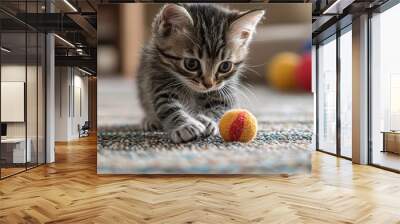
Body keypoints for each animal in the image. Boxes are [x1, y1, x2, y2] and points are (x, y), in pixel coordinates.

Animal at [136, 3, 264, 144]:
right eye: (191, 64)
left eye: (225, 66)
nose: (208, 84)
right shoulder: (160, 80)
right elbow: (168, 107)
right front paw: (185, 125)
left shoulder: (226, 90)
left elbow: (220, 108)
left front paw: (207, 120)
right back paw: (151, 120)